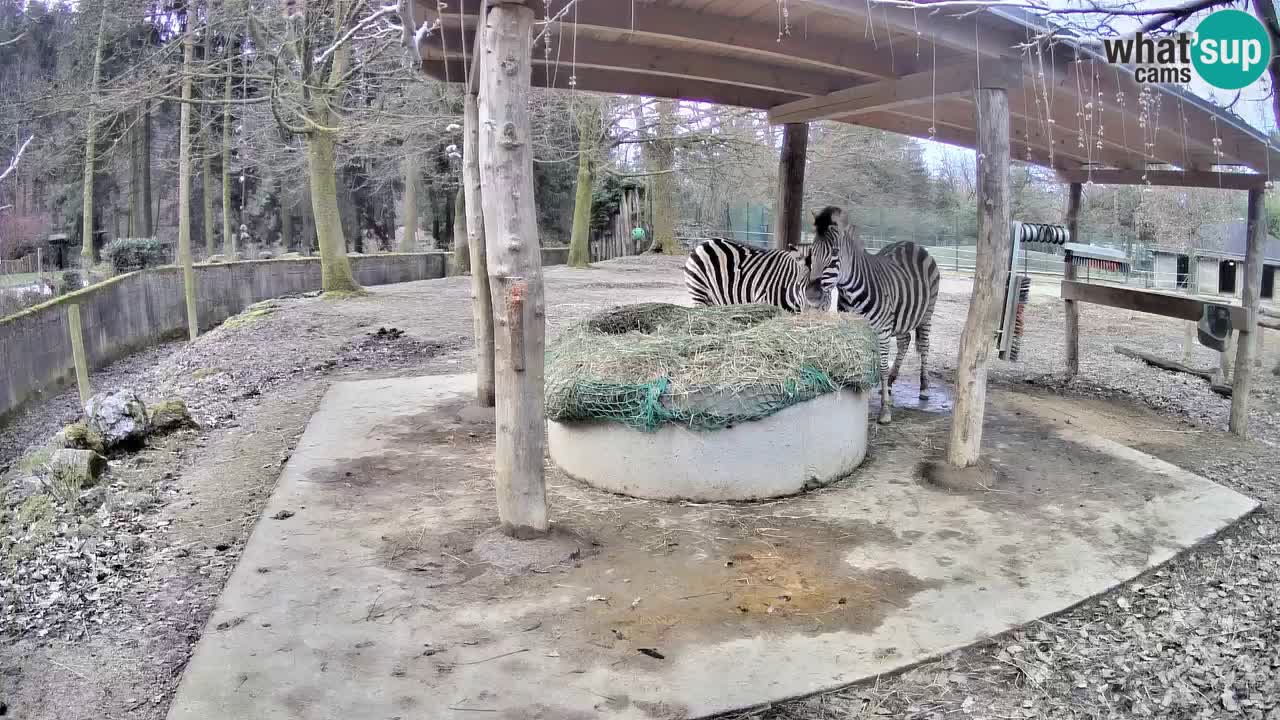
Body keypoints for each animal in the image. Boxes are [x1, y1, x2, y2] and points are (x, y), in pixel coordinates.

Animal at [808, 204, 942, 422]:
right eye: (812, 251)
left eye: (835, 252)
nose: (811, 295)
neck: (851, 291)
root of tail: (912, 243)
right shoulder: (854, 329)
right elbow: (860, 362)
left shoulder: (883, 330)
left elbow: (882, 367)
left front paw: (884, 410)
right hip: (901, 316)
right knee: (904, 341)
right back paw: (892, 382)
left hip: (926, 313)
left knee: (924, 346)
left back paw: (923, 387)